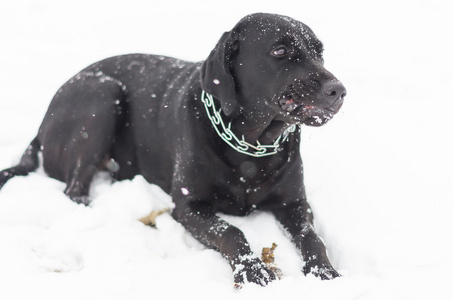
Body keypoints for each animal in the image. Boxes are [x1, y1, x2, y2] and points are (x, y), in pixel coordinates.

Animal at [0, 14, 346, 286]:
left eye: (319, 52)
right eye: (280, 50)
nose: (339, 90)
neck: (251, 145)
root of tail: (41, 126)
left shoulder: (295, 204)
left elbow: (312, 237)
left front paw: (324, 271)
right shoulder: (188, 206)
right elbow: (231, 231)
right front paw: (252, 270)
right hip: (102, 95)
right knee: (74, 188)